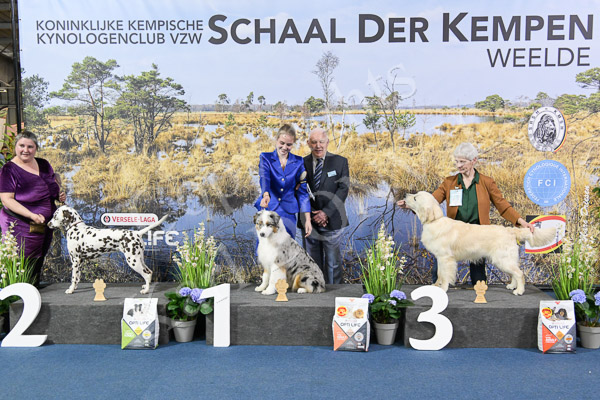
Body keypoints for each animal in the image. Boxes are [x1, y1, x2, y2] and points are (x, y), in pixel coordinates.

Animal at [404, 191, 556, 295]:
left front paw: (443, 288)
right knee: (514, 273)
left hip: (502, 259)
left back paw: (519, 290)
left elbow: (445, 275)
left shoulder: (446, 258)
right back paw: (512, 286)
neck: (434, 221)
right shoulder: (440, 258)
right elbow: (440, 274)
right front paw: (435, 286)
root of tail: (509, 230)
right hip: (506, 259)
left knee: (519, 273)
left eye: (415, 197)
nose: (405, 195)